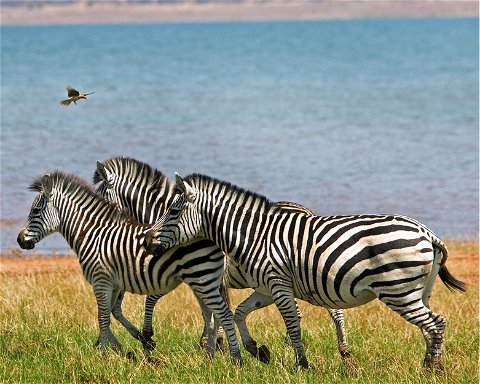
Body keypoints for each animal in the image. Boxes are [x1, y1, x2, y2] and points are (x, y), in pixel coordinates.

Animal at [16, 170, 242, 364]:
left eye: (35, 211)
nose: (19, 240)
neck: (92, 234)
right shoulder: (114, 284)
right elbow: (110, 313)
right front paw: (117, 346)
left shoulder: (101, 280)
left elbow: (102, 316)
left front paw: (105, 353)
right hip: (202, 280)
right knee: (211, 314)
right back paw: (210, 353)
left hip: (201, 277)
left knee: (219, 313)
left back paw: (225, 354)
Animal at [94, 156, 352, 364]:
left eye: (102, 197)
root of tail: (306, 211)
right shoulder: (201, 277)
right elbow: (209, 311)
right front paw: (215, 344)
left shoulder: (196, 274)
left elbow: (156, 299)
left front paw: (150, 335)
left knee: (330, 312)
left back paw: (339, 351)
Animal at [145, 172, 464, 370]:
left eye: (173, 211)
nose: (147, 240)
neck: (255, 236)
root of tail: (427, 233)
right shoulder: (265, 288)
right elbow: (239, 313)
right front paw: (257, 350)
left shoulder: (278, 284)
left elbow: (292, 324)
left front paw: (302, 365)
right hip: (418, 291)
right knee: (430, 326)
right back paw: (430, 364)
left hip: (398, 290)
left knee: (436, 323)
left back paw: (432, 369)